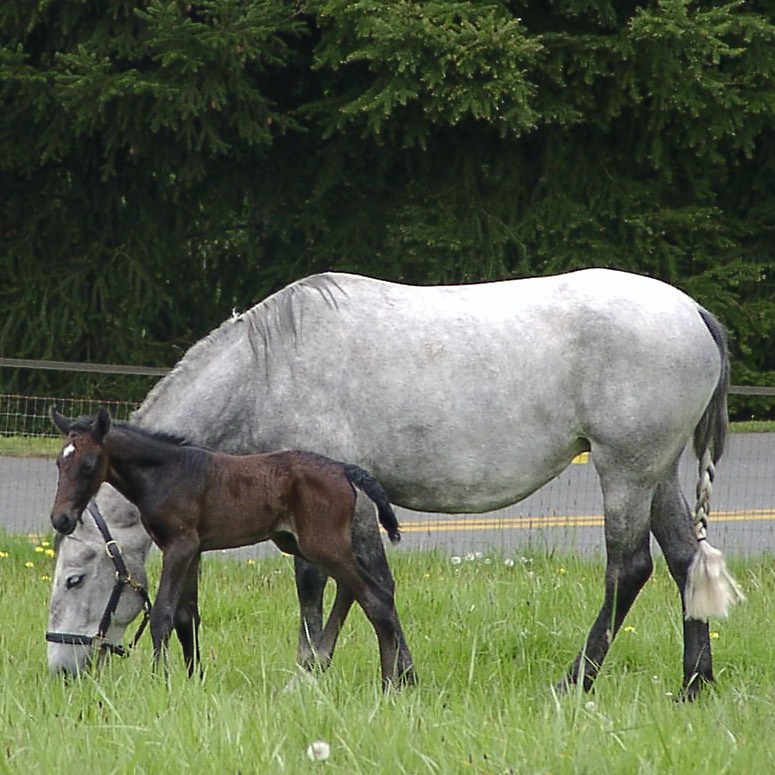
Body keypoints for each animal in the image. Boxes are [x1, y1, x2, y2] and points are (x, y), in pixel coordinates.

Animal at [45, 270, 744, 700]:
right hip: (655, 472)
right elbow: (364, 585)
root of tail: (692, 311)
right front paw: (379, 673)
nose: (60, 669)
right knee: (685, 560)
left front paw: (317, 673)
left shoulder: (329, 502)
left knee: (628, 570)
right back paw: (694, 684)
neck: (270, 365)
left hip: (623, 470)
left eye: (75, 578)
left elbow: (334, 585)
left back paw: (575, 683)